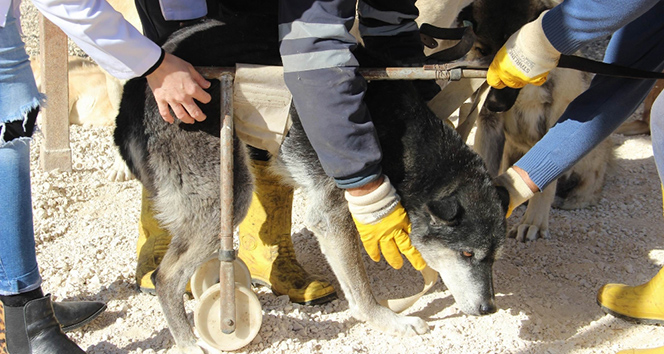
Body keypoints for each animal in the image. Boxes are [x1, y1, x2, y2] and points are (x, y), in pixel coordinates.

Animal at [114, 11, 508, 354]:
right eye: (467, 254)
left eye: (494, 257)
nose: (489, 309)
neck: (404, 142)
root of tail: (136, 90)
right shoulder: (331, 213)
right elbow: (360, 287)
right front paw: (385, 319)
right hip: (229, 193)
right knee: (166, 277)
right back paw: (188, 340)